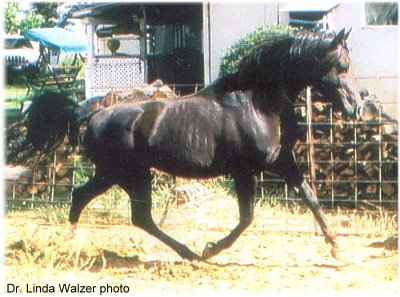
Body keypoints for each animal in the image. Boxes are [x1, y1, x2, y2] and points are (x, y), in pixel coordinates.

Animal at [7, 27, 362, 260]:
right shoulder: (244, 171)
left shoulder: (282, 161)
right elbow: (247, 217)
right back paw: (189, 253)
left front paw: (337, 247)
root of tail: (91, 114)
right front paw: (212, 249)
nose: (356, 107)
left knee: (94, 201)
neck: (257, 103)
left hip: (117, 175)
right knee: (130, 214)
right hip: (126, 175)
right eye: (342, 66)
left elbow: (310, 197)